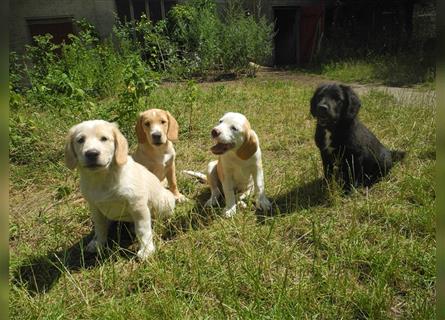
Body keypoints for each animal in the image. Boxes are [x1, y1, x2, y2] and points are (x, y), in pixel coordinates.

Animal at [64, 120, 175, 260]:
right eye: (80, 140)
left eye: (104, 139)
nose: (92, 153)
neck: (102, 178)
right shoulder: (95, 207)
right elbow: (100, 227)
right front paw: (98, 243)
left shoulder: (138, 205)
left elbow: (143, 229)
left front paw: (146, 250)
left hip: (164, 201)